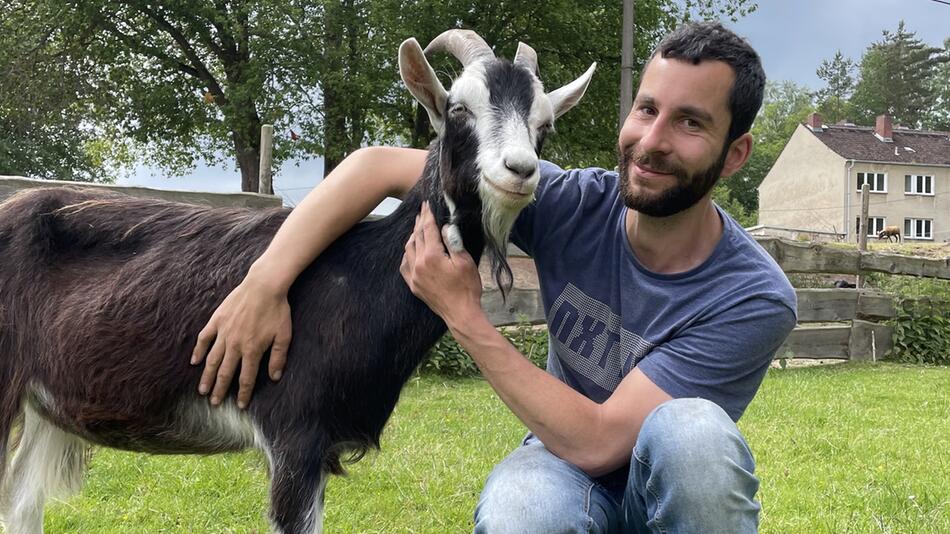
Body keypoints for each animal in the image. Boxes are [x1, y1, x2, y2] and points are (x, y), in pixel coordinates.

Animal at [0, 30, 596, 534]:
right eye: (457, 109)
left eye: (544, 125)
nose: (520, 170)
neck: (361, 274)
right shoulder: (295, 435)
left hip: (46, 406)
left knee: (23, 507)